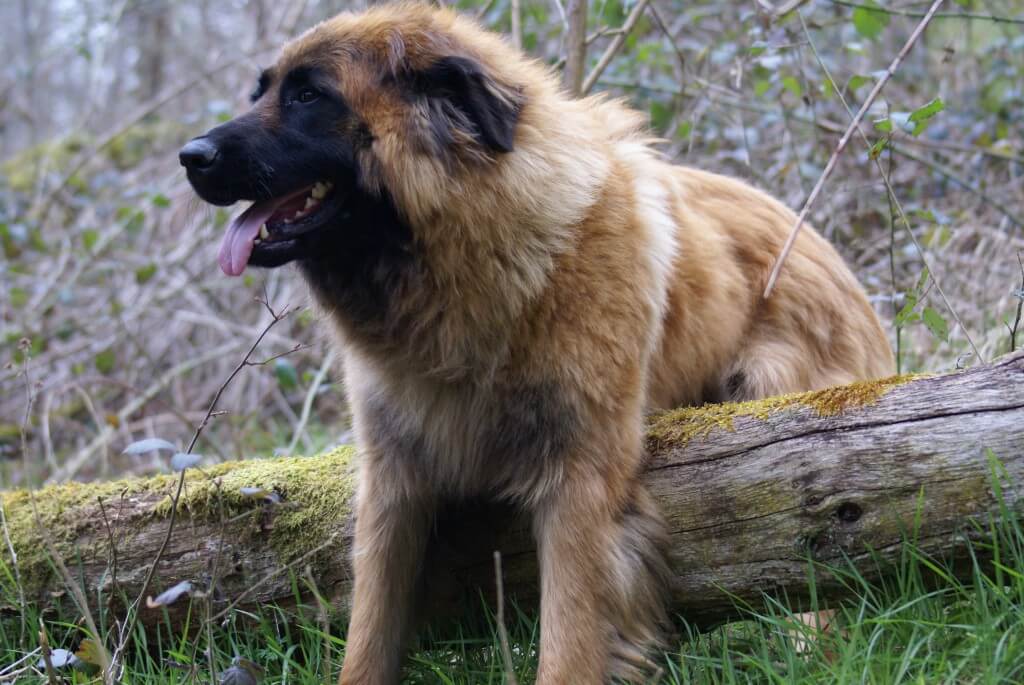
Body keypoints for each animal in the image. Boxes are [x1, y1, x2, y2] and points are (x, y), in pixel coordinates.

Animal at [180, 3, 892, 679]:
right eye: (262, 92)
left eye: (308, 96)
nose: (191, 157)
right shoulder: (393, 485)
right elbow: (368, 638)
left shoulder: (580, 483)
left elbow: (569, 644)